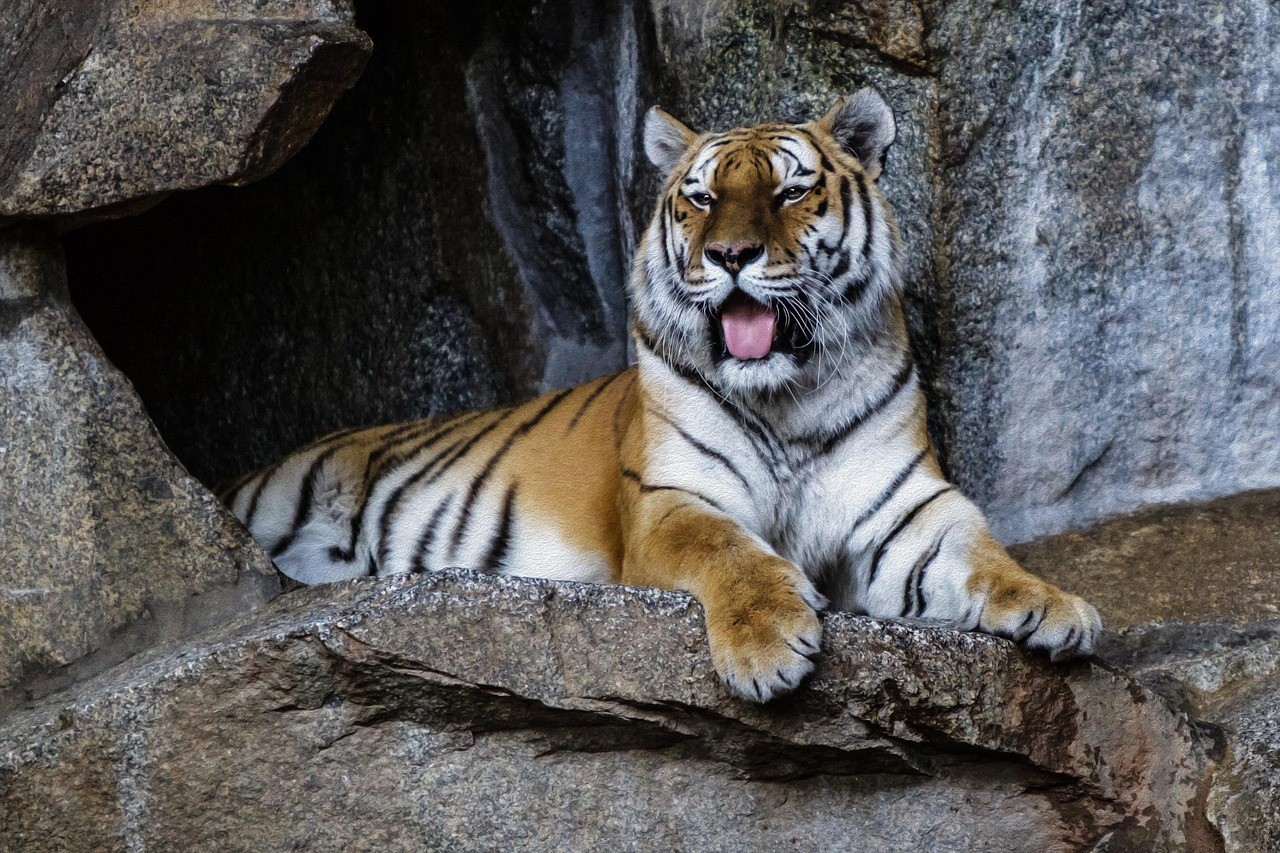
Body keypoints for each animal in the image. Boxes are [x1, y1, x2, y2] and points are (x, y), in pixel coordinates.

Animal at [221, 88, 1102, 703]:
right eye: (702, 197)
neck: (788, 398)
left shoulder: (907, 510)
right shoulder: (670, 500)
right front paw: (767, 646)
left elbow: (983, 552)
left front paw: (1054, 605)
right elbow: (728, 550)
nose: (732, 255)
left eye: (789, 193)